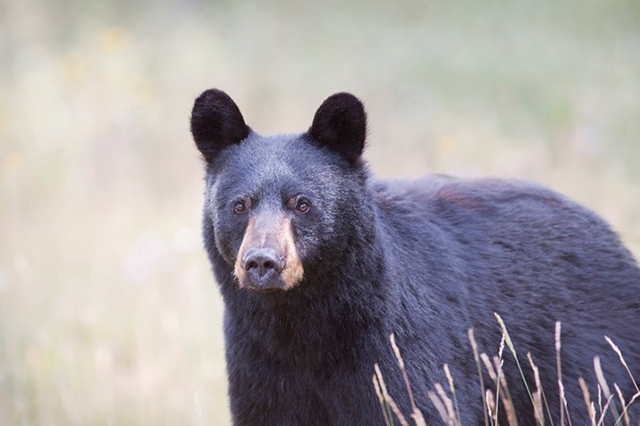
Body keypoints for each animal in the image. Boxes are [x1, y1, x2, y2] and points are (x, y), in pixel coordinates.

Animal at [189, 89, 640, 425]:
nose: (263, 262)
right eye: (239, 205)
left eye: (302, 204)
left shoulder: (401, 353)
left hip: (589, 363)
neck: (301, 324)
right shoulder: (258, 368)